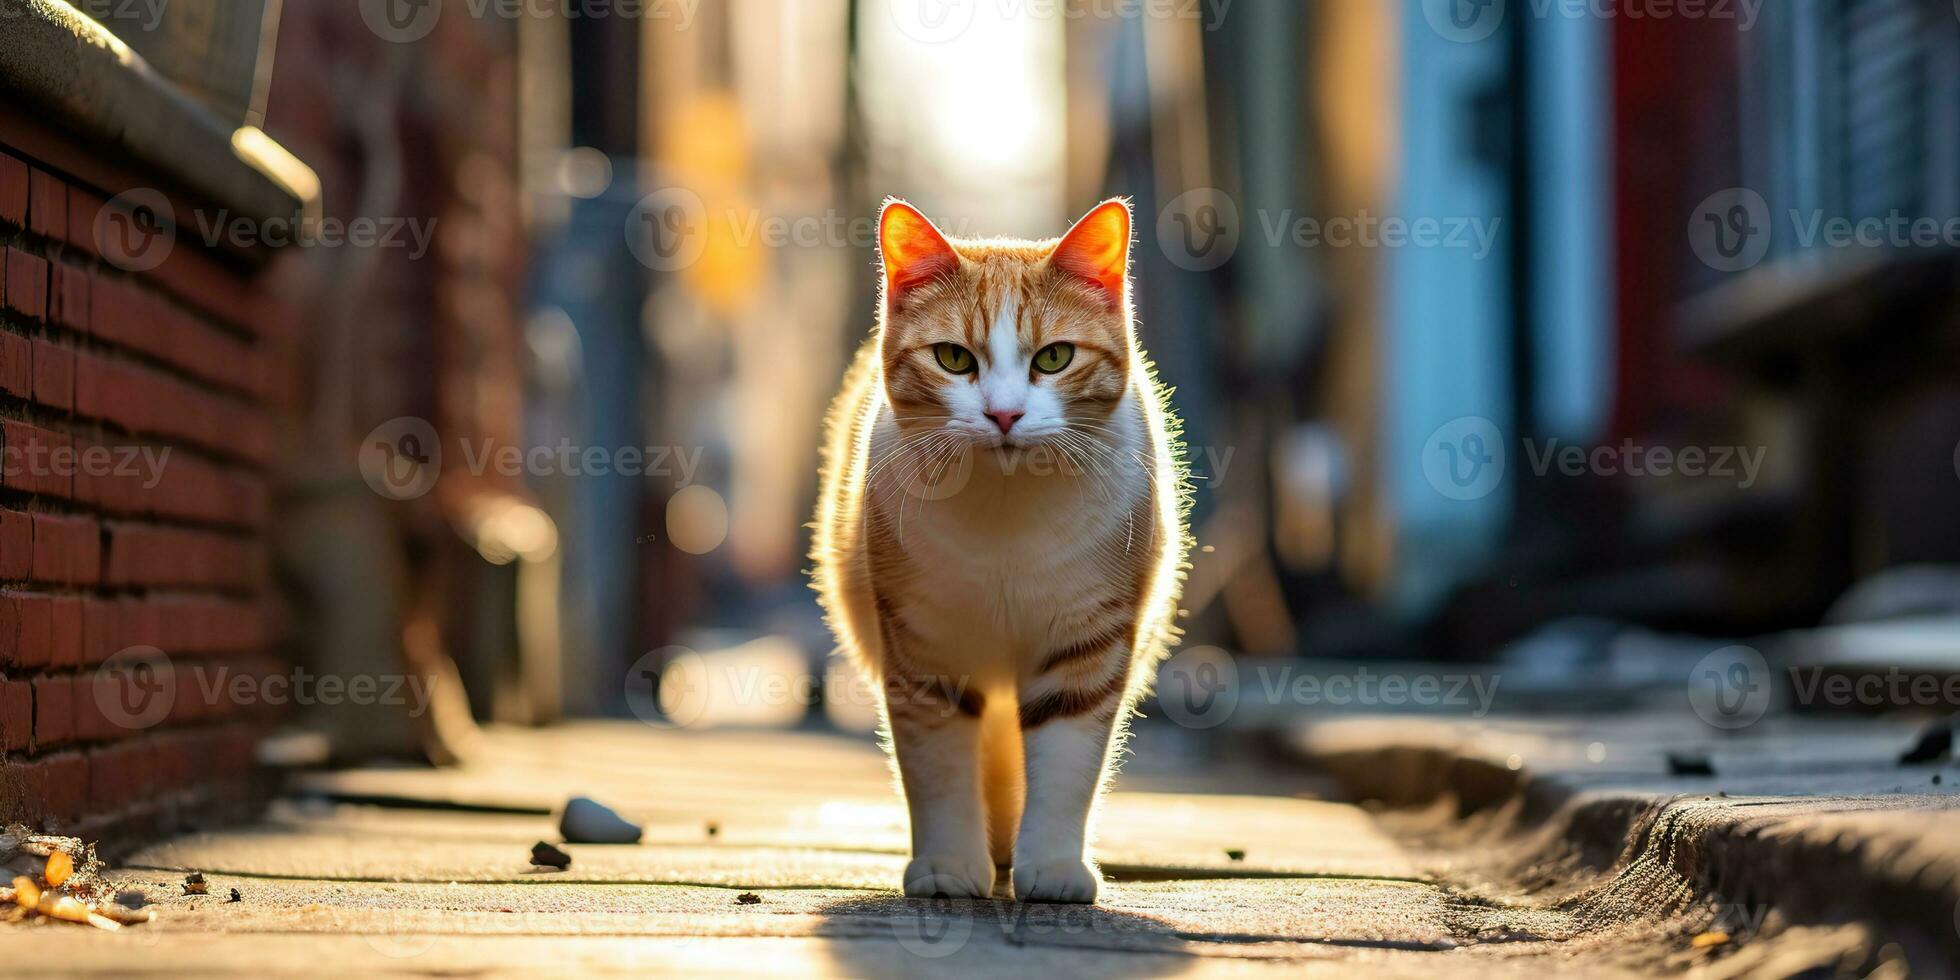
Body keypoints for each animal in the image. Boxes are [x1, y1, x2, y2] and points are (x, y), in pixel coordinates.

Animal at [807, 198, 1183, 901]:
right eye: (953, 359)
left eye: (1055, 357)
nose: (1005, 415)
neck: (1006, 517)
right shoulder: (923, 648)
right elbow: (940, 767)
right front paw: (949, 866)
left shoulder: (1087, 645)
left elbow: (1065, 763)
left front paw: (1054, 867)